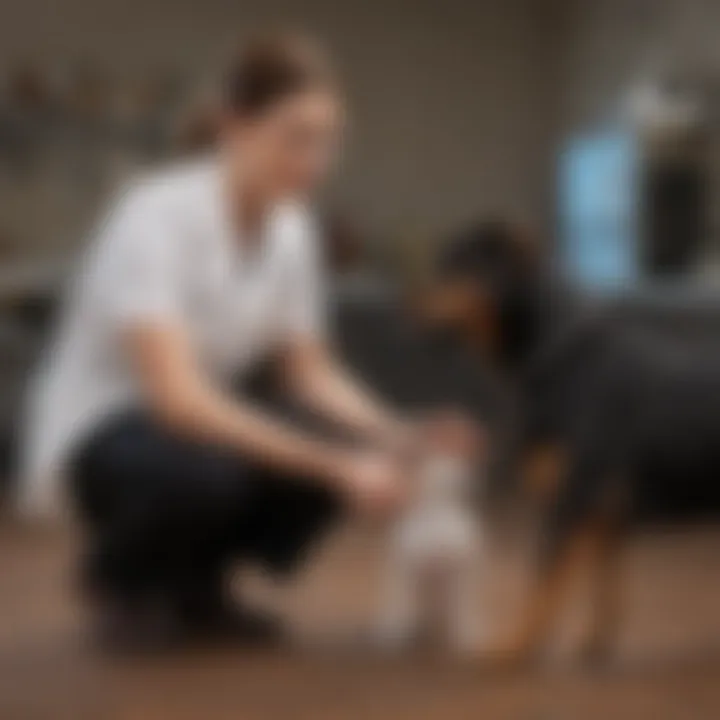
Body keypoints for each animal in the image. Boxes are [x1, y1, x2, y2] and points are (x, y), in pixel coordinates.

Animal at [420, 219, 720, 664]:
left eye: (457, 266)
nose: (412, 313)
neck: (554, 354)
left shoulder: (572, 496)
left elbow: (543, 581)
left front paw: (516, 646)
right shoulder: (603, 512)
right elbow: (603, 587)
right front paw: (593, 646)